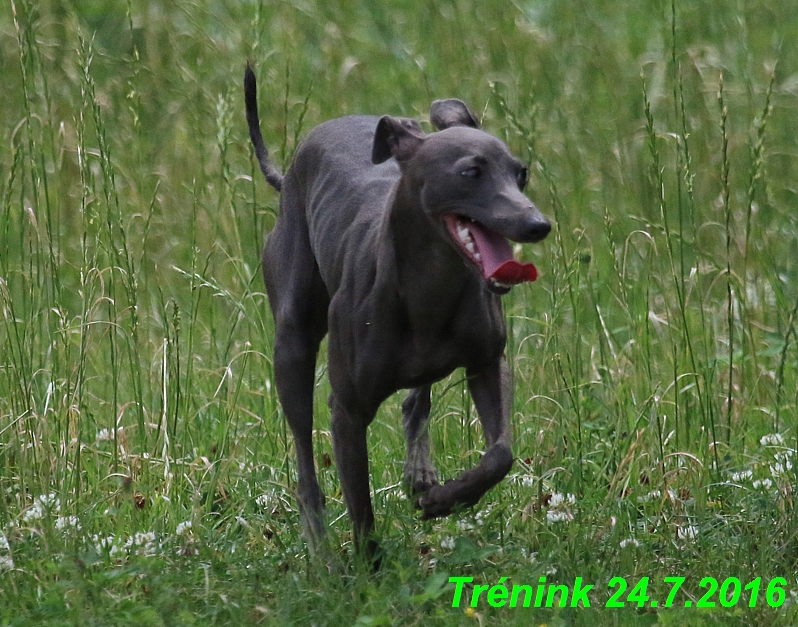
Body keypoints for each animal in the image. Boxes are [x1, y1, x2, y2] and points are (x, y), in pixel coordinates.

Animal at [247, 66, 552, 560]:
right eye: (470, 172)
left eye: (520, 173)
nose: (537, 225)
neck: (429, 290)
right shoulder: (347, 411)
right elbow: (360, 509)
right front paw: (366, 573)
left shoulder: (488, 364)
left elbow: (499, 455)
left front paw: (448, 498)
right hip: (292, 346)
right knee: (306, 465)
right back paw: (320, 549)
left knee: (415, 401)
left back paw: (420, 474)